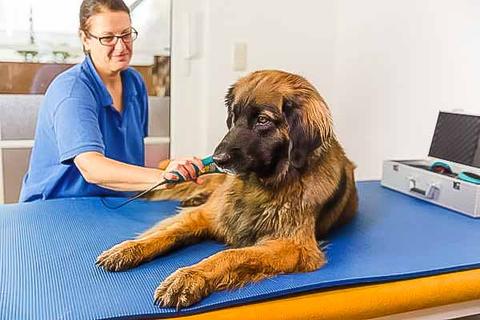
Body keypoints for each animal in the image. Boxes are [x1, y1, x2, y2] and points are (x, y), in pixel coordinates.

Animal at [95, 69, 356, 308]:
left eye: (263, 120)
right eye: (234, 115)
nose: (218, 159)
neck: (259, 185)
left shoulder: (293, 246)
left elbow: (230, 254)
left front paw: (189, 277)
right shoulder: (208, 215)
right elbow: (167, 232)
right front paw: (129, 248)